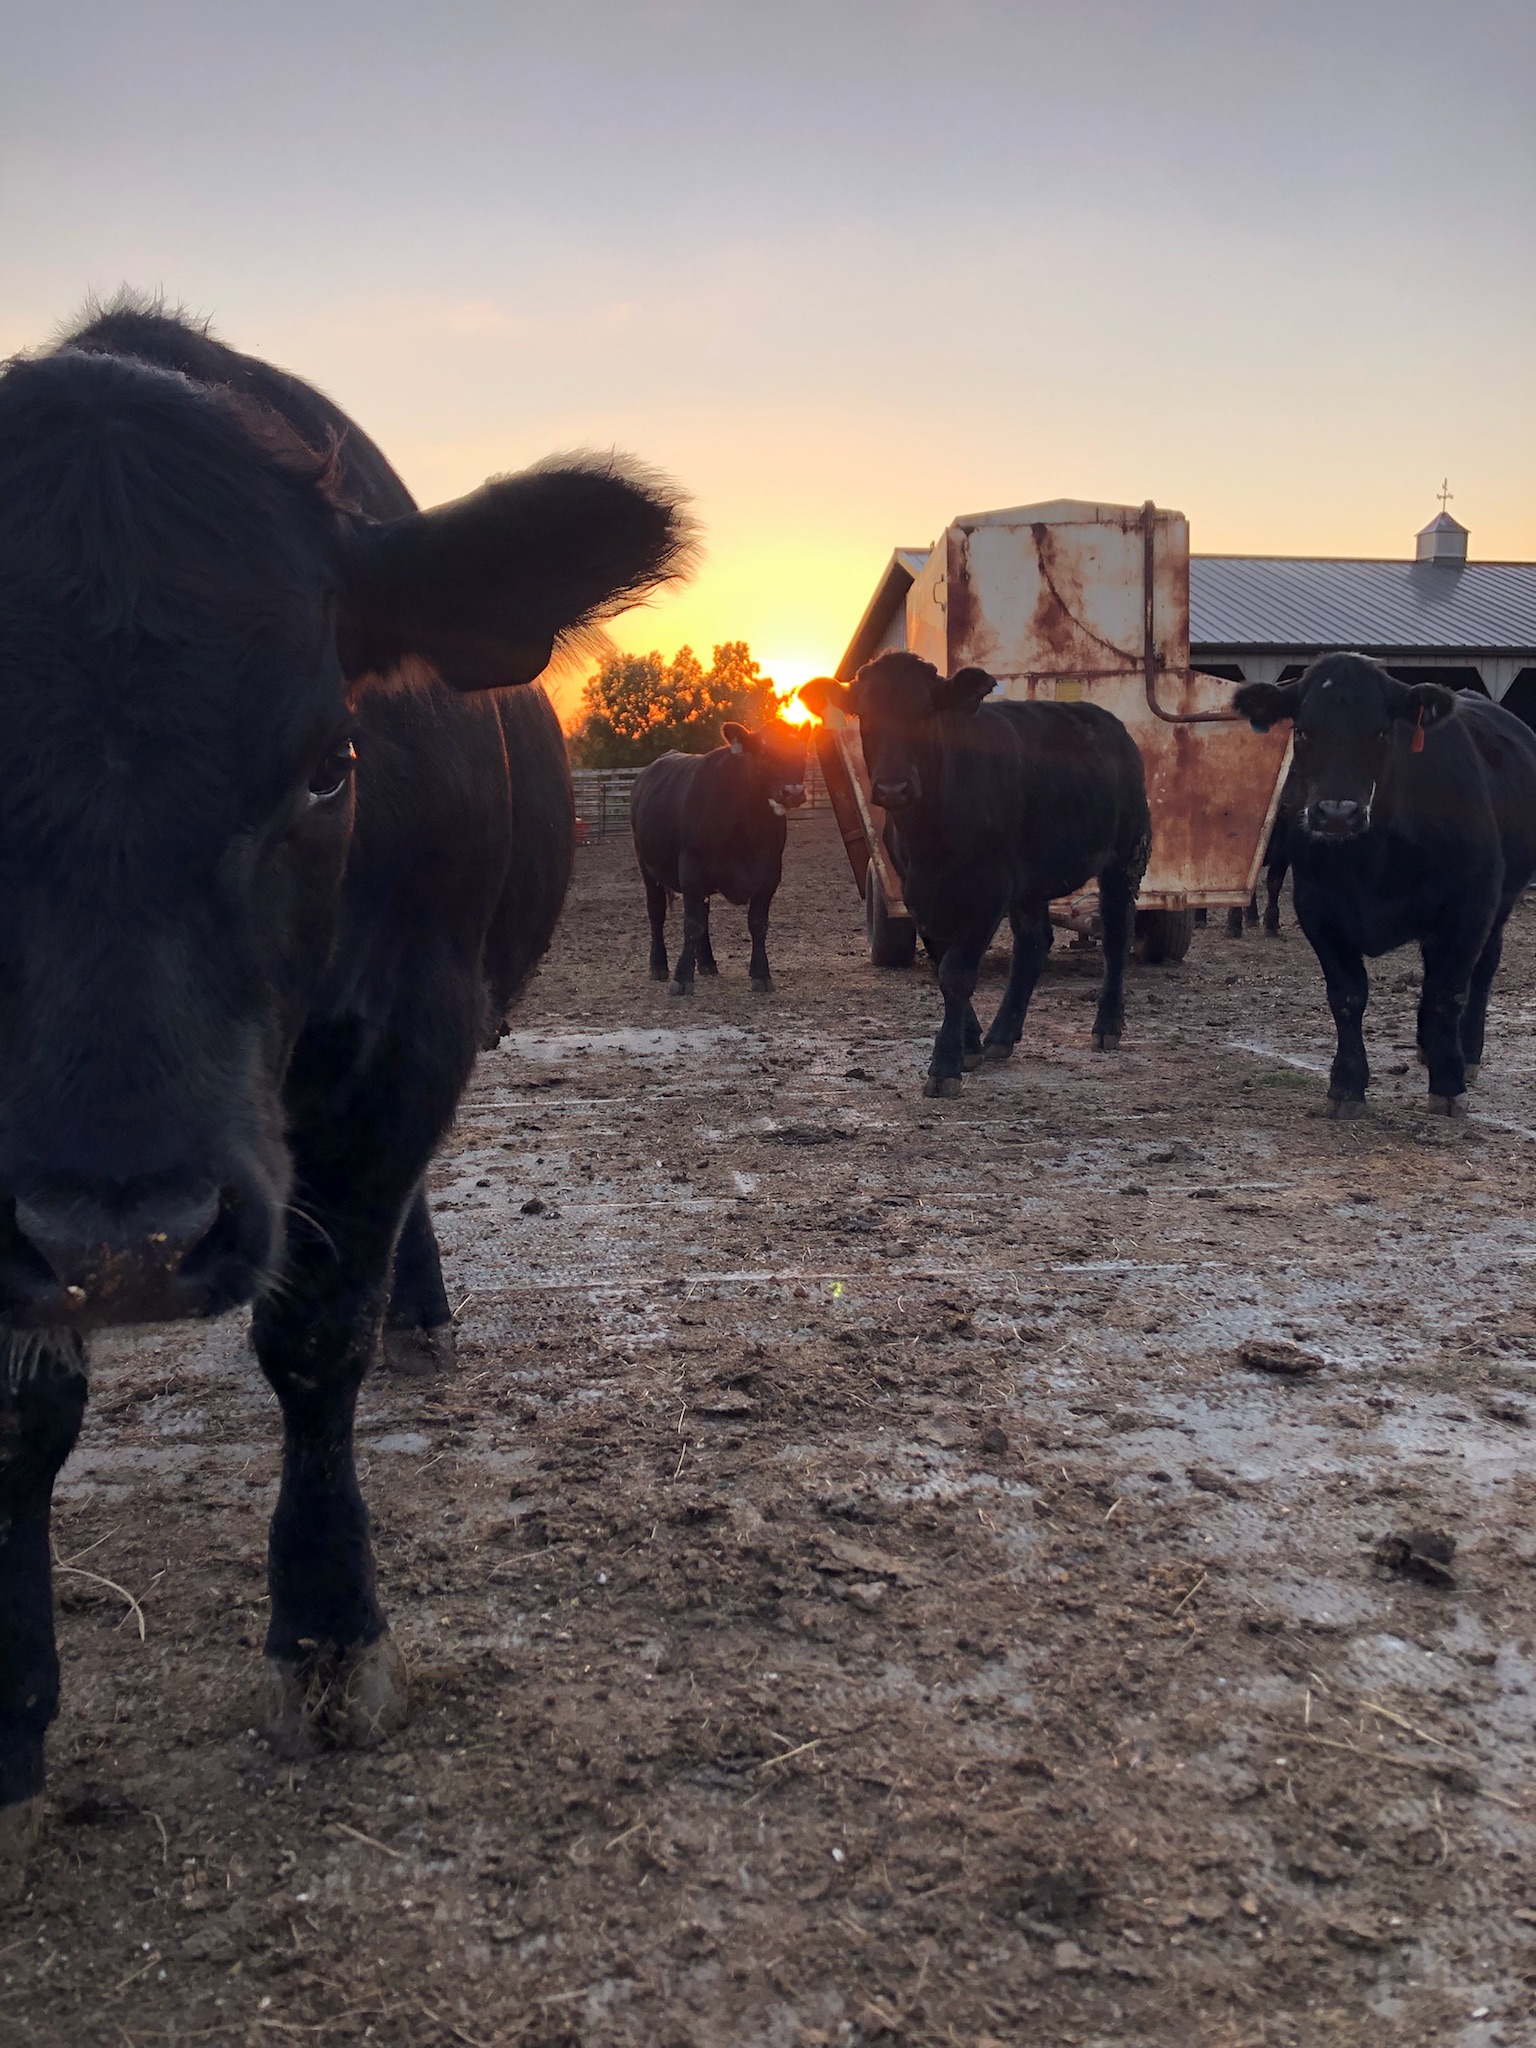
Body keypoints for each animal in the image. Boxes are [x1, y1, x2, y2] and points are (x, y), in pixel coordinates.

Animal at [0, 297, 692, 1887]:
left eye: (331, 766)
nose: (120, 1237)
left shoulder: (410, 1041)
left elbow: (316, 1341)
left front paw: (327, 1635)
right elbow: (19, 1413)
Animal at [630, 717, 807, 995]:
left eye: (802, 752)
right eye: (764, 752)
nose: (794, 792)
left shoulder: (770, 875)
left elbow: (758, 923)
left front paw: (761, 973)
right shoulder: (691, 870)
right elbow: (692, 924)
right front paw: (682, 977)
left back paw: (706, 962)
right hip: (648, 868)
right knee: (656, 913)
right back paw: (658, 965)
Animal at [801, 655, 1151, 1096]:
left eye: (925, 713)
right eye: (865, 715)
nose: (894, 788)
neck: (929, 833)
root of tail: (1109, 722)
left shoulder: (989, 891)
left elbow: (957, 972)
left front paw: (945, 1064)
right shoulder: (918, 895)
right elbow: (942, 967)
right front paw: (969, 1044)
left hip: (1126, 856)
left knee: (1117, 933)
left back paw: (1107, 1025)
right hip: (1031, 880)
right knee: (1034, 944)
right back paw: (1001, 1035)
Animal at [1233, 652, 1536, 1116]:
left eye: (1380, 731)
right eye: (1302, 730)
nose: (1337, 813)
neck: (1371, 861)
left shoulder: (1469, 907)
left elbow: (1448, 992)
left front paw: (1448, 1085)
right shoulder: (1318, 909)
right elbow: (1347, 996)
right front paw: (1347, 1085)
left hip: (1500, 903)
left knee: (1481, 972)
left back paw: (1466, 1053)